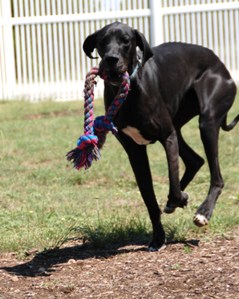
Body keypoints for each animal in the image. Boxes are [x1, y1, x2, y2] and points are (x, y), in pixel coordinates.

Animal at [81, 22, 237, 251]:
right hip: (179, 123)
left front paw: (181, 198)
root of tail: (220, 63)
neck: (131, 90)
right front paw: (158, 238)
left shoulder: (167, 137)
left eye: (126, 41)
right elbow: (150, 200)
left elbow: (172, 181)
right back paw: (175, 204)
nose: (111, 59)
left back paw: (203, 212)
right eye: (102, 41)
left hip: (207, 120)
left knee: (216, 177)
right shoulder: (135, 152)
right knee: (195, 160)